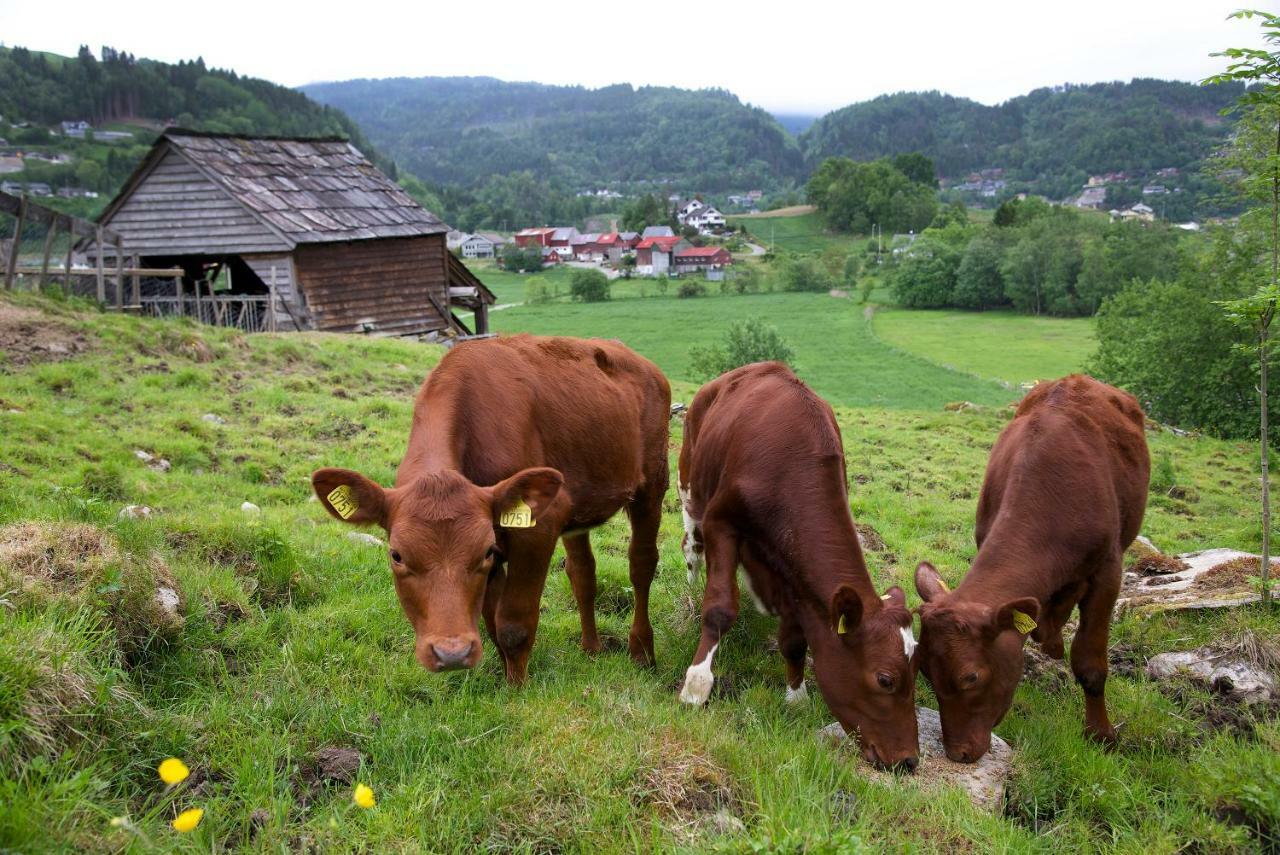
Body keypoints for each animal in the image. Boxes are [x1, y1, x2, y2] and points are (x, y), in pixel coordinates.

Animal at [312, 330, 670, 686]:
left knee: (641, 564)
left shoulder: (537, 529)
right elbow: (493, 622)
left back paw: (642, 652)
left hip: (653, 483)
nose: (451, 653)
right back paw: (591, 648)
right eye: (396, 555)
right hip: (579, 504)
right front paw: (505, 677)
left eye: (484, 551)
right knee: (582, 572)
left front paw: (517, 688)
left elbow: (514, 623)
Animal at [680, 363, 921, 773]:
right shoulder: (721, 522)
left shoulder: (795, 573)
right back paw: (691, 579)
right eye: (885, 679)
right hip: (690, 485)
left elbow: (795, 639)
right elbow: (719, 608)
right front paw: (696, 684)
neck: (787, 472)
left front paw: (796, 696)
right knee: (691, 543)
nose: (909, 760)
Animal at [911, 373, 1152, 762]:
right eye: (926, 674)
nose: (958, 753)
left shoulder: (1108, 571)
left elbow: (1090, 663)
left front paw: (1101, 735)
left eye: (971, 677)